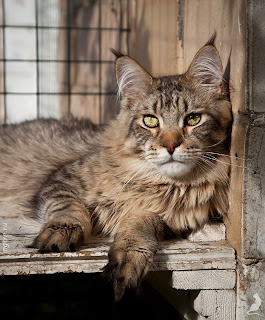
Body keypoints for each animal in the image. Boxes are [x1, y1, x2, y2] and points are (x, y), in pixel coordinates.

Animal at [0, 38, 230, 300]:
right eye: (150, 121)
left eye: (193, 119)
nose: (170, 146)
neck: (157, 182)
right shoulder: (60, 180)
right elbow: (69, 209)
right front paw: (61, 232)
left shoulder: (168, 220)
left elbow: (141, 221)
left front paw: (129, 254)